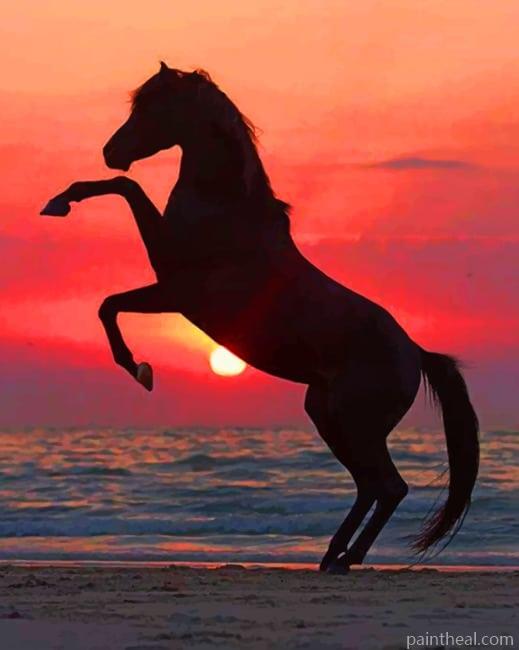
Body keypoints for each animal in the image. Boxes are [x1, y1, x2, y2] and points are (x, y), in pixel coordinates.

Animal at [41, 62, 479, 572]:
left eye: (152, 107)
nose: (110, 152)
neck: (228, 211)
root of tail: (415, 353)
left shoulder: (174, 290)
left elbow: (109, 291)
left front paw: (139, 370)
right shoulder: (171, 291)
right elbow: (118, 234)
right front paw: (59, 201)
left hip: (355, 422)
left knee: (389, 486)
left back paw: (346, 558)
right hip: (327, 414)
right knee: (370, 485)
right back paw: (332, 554)